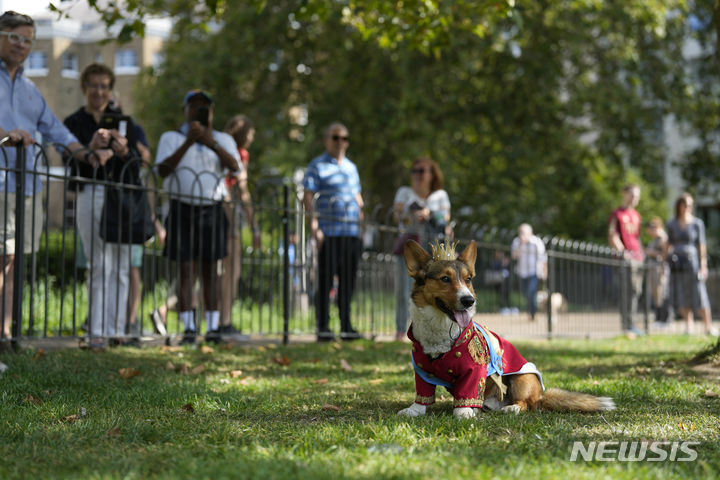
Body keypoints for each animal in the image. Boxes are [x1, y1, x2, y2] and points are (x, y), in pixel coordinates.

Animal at [396, 240, 616, 420]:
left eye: (468, 280)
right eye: (444, 279)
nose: (469, 301)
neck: (440, 327)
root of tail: (542, 396)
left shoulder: (474, 370)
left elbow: (467, 393)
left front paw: (464, 412)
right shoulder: (421, 370)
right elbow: (423, 394)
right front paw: (414, 410)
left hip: (522, 378)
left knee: (528, 404)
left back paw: (511, 408)